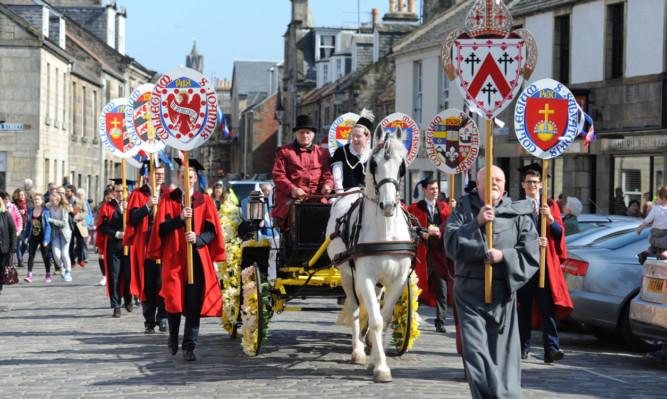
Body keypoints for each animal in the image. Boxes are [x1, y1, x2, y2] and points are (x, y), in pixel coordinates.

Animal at [328, 126, 414, 382]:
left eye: (402, 165)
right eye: (373, 164)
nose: (387, 205)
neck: (385, 231)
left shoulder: (398, 279)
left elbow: (383, 319)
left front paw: (377, 360)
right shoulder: (364, 276)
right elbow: (374, 320)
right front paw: (381, 367)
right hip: (347, 275)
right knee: (356, 309)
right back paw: (358, 351)